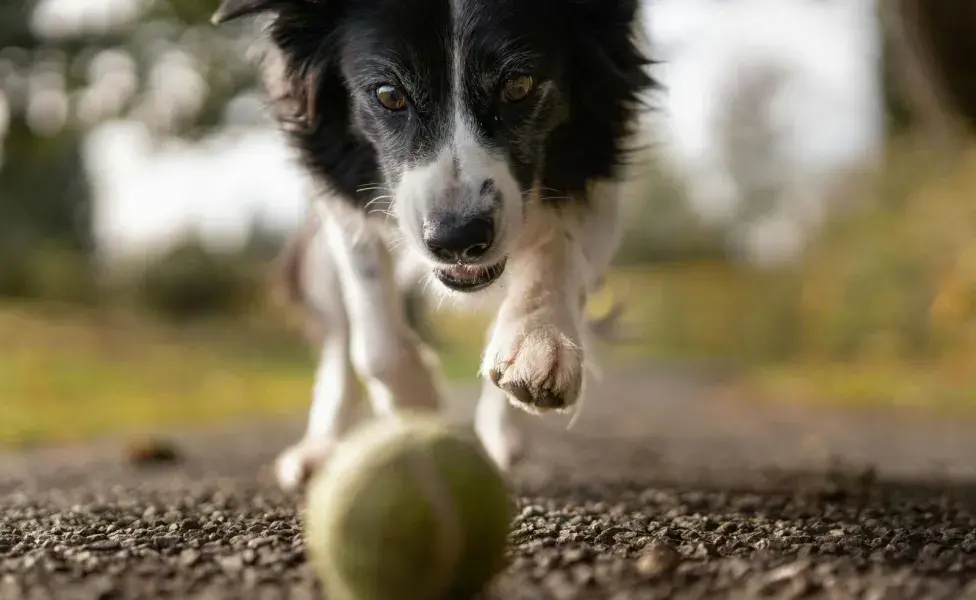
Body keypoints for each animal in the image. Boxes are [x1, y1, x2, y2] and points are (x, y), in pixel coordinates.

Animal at [213, 0, 656, 490]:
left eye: (518, 85)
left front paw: (538, 342)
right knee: (340, 338)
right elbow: (374, 338)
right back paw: (319, 449)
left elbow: (556, 247)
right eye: (389, 95)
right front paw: (418, 410)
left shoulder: (600, 156)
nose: (458, 239)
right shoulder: (342, 195)